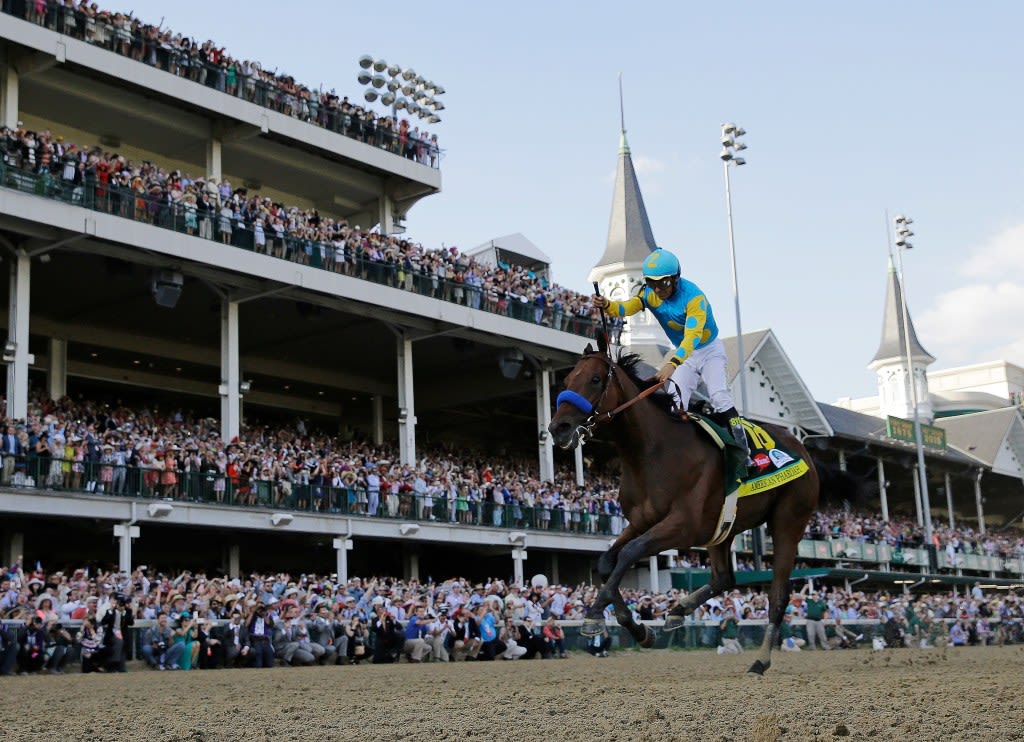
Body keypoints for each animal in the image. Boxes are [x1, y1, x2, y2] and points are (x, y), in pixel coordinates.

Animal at [548, 343, 819, 675]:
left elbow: (629, 553)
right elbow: (607, 561)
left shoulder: (683, 525)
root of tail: (801, 447)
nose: (558, 428)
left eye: (596, 379)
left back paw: (761, 660)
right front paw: (639, 629)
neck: (653, 451)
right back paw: (678, 609)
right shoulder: (641, 521)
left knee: (778, 593)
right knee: (723, 578)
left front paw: (596, 612)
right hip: (723, 528)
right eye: (567, 379)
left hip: (788, 521)